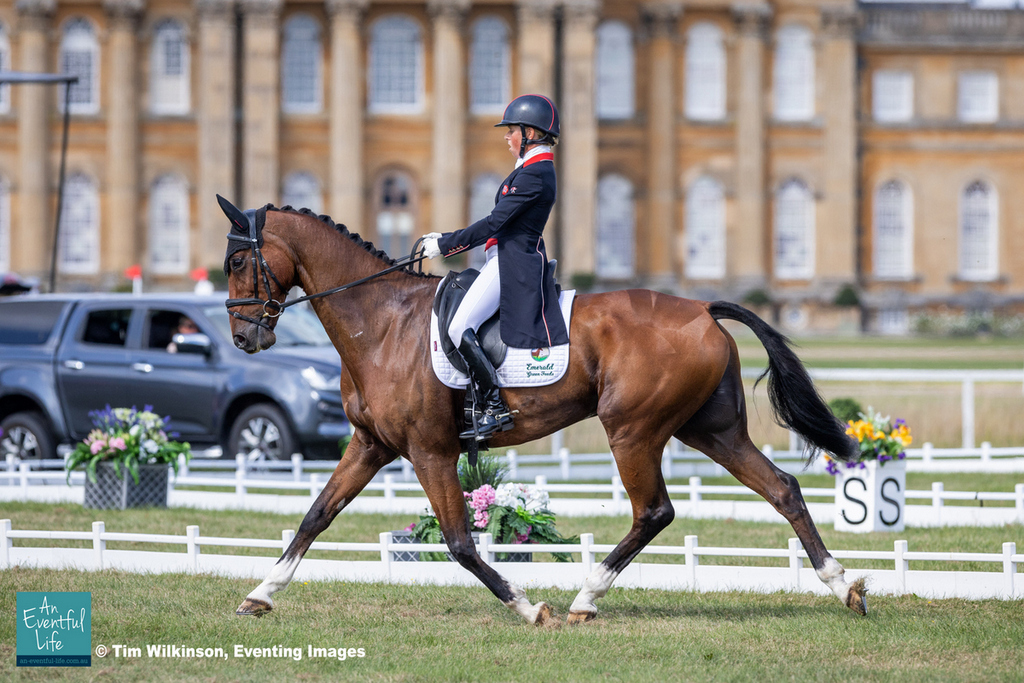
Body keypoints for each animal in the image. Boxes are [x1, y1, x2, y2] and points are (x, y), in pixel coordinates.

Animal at [219, 198, 867, 626]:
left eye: (236, 263)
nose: (244, 338)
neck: (381, 323)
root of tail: (702, 310)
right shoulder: (370, 445)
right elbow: (314, 517)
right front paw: (261, 593)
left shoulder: (431, 450)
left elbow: (461, 542)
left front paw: (529, 607)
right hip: (709, 429)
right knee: (781, 488)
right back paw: (843, 586)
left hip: (632, 430)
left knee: (654, 511)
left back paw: (585, 597)